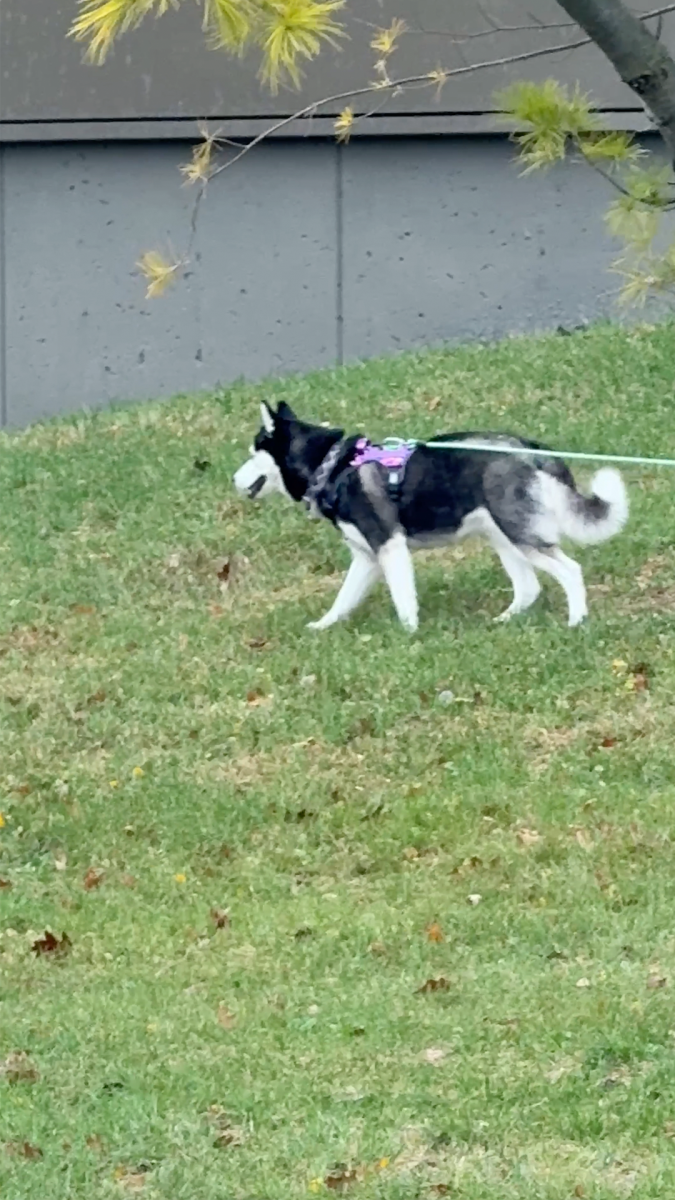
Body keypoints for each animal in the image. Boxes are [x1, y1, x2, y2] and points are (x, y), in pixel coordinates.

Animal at [233, 398, 624, 633]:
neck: (332, 467)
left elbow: (404, 598)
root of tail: (532, 450)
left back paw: (576, 620)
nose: (232, 479)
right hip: (503, 536)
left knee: (570, 570)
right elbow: (342, 600)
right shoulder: (366, 557)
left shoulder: (389, 546)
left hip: (521, 534)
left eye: (253, 453)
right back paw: (504, 619)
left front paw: (408, 634)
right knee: (528, 587)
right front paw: (322, 626)